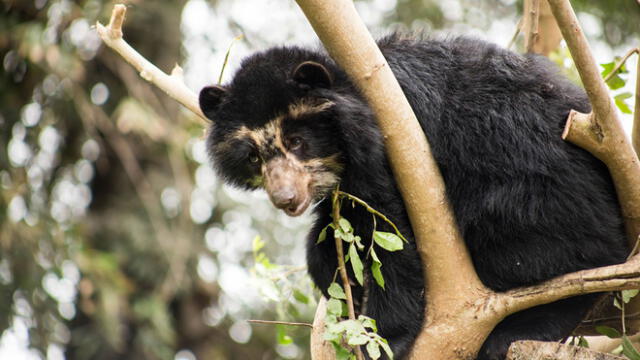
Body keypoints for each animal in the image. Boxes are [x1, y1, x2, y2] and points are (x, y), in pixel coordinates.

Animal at [198, 34, 628, 360]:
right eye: (254, 156)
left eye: (296, 142)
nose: (286, 199)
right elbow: (337, 234)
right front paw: (338, 276)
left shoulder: (397, 146)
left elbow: (391, 231)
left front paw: (385, 338)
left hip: (542, 199)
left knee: (552, 255)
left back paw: (516, 332)